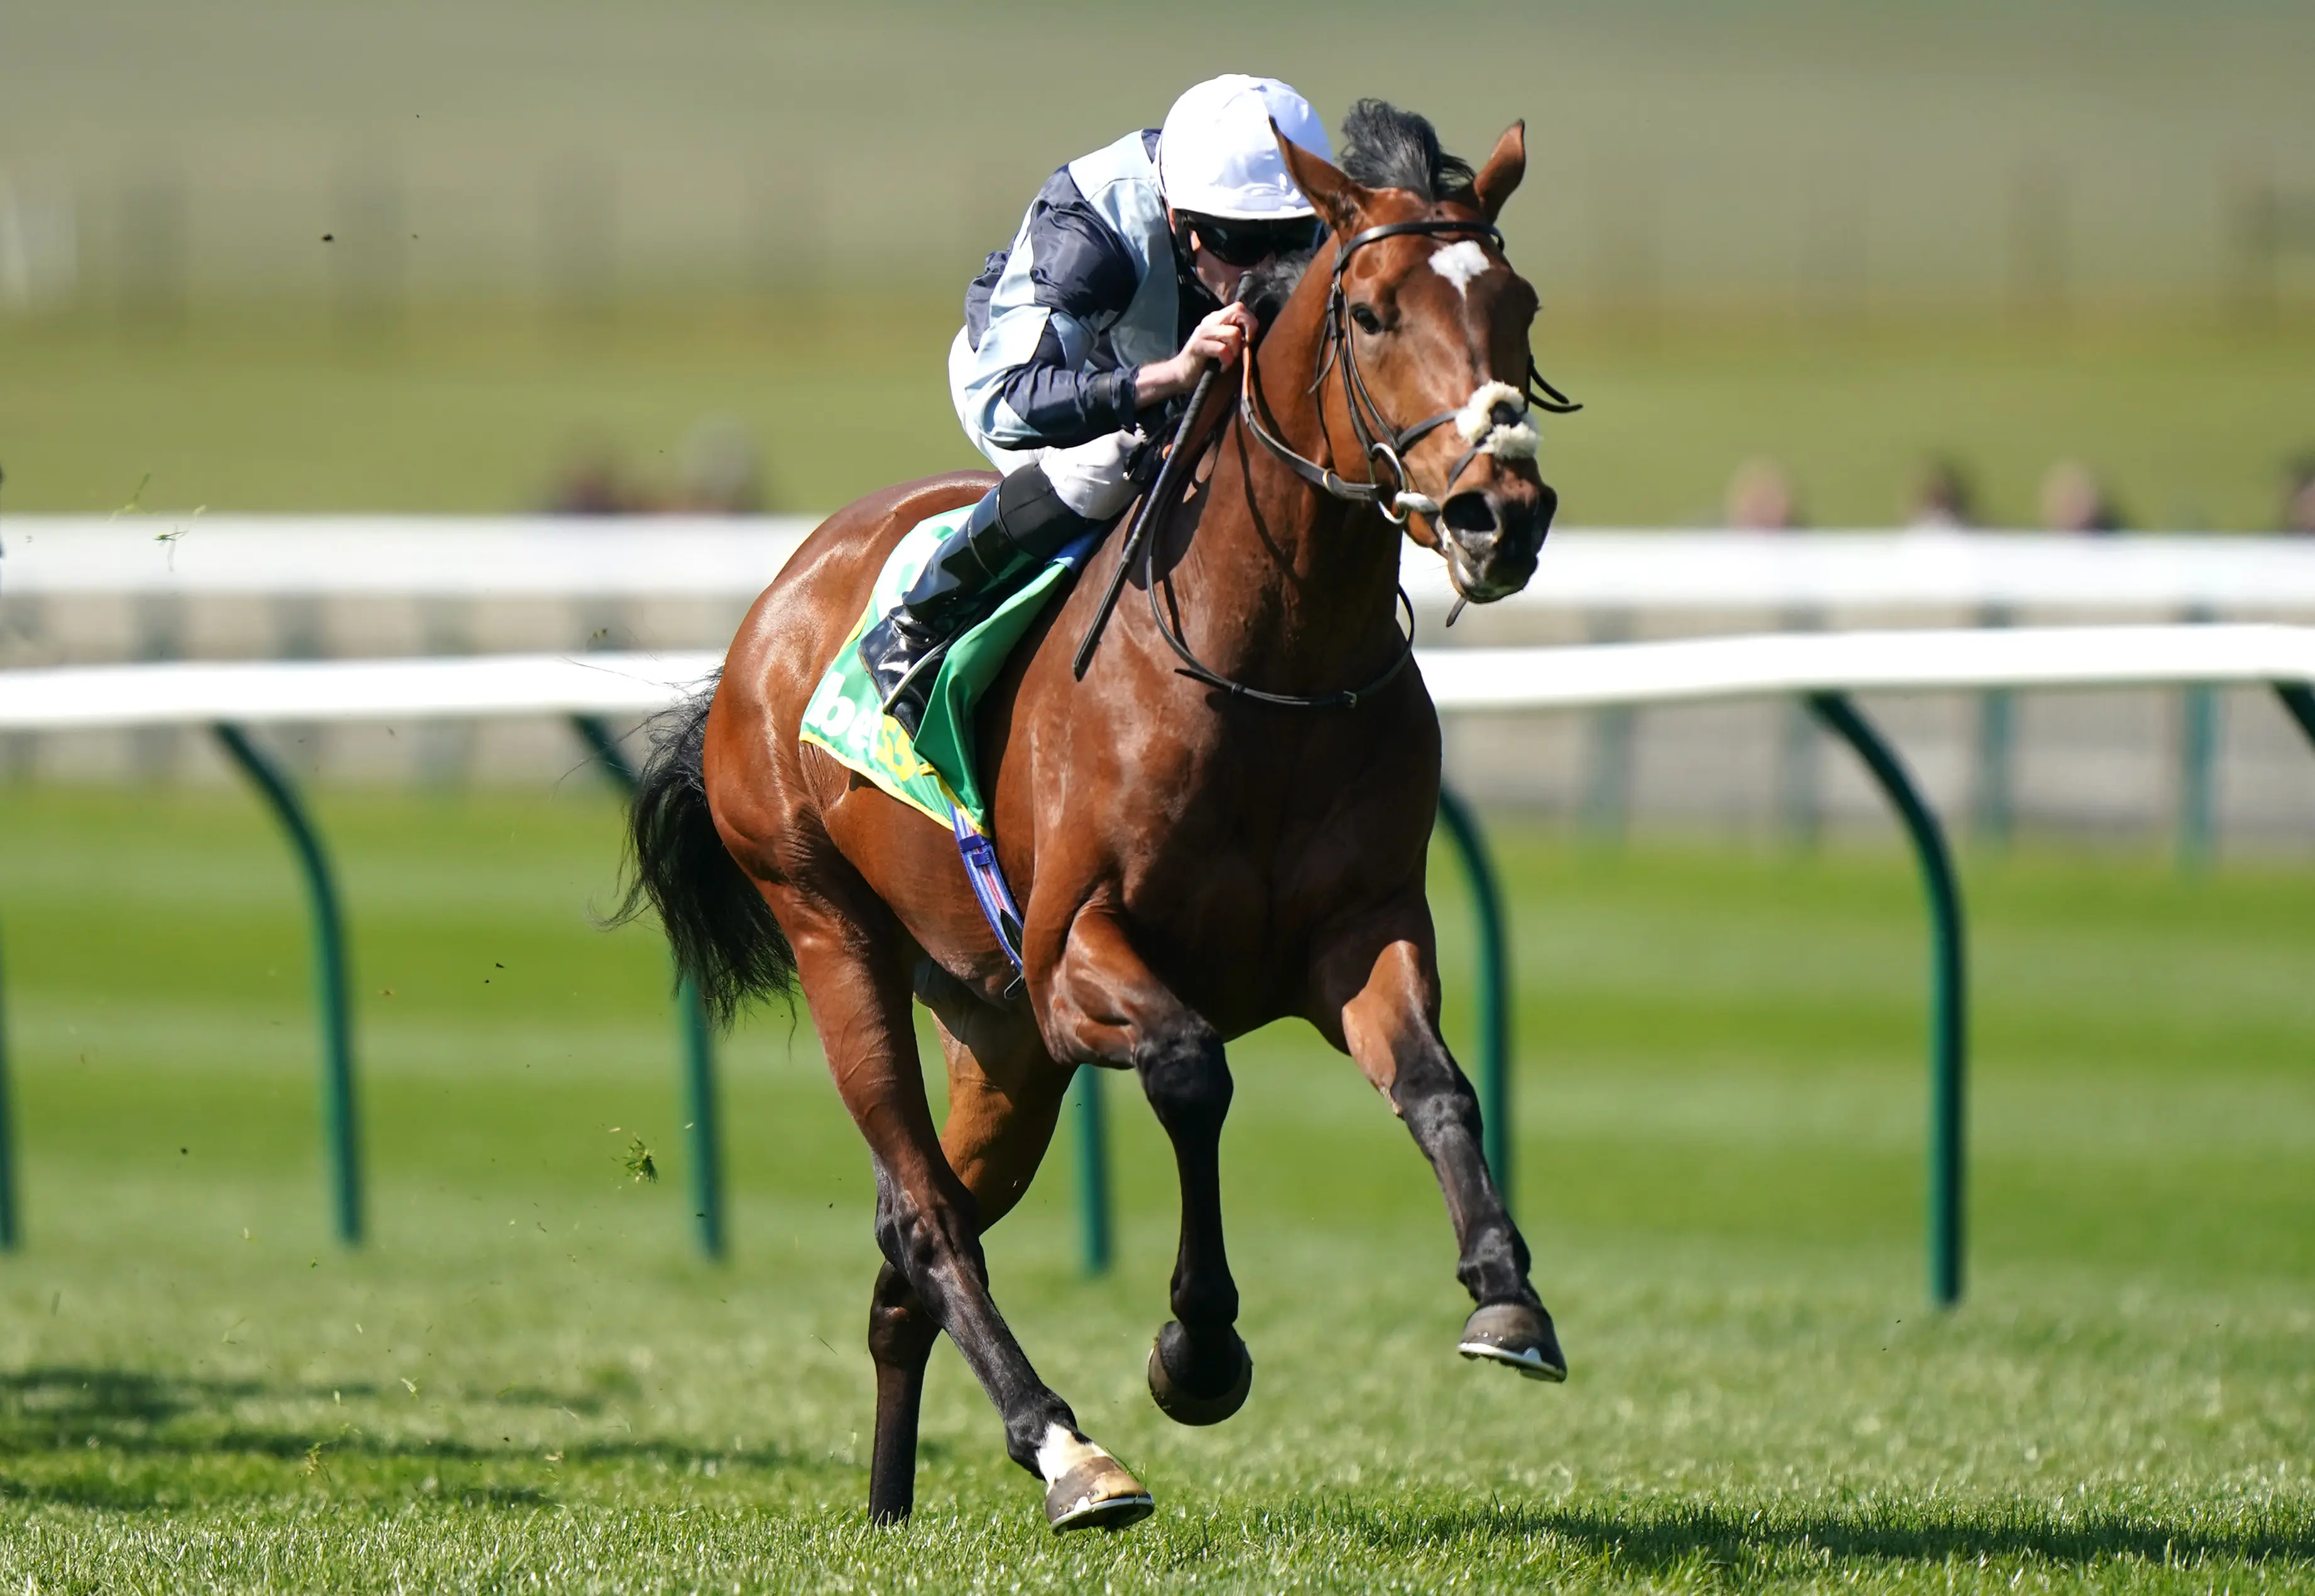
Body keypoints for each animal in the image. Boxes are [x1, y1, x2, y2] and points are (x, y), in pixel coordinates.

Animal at [620, 106, 1565, 1532]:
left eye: (1520, 305)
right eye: (1368, 311)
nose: (1497, 512)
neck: (1267, 664)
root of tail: (774, 610)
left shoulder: (1359, 932)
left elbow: (1439, 1088)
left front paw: (1508, 1296)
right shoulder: (1078, 958)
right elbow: (1191, 1067)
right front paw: (1197, 1348)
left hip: (999, 1034)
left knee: (913, 1242)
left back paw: (892, 1501)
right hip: (837, 931)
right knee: (928, 1215)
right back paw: (1066, 1447)